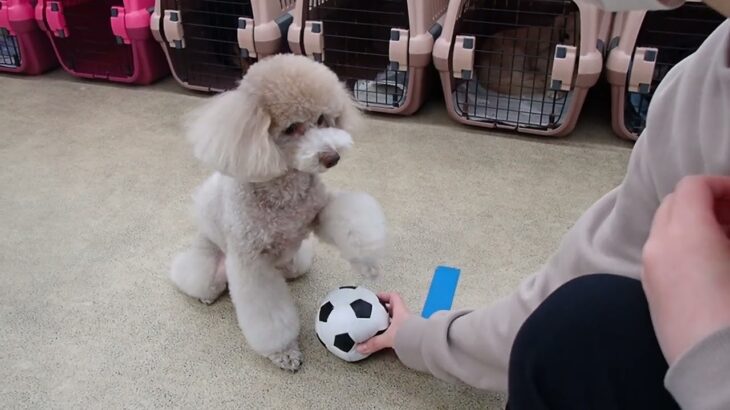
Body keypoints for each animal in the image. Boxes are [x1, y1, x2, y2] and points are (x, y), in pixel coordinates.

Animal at [171, 52, 386, 370]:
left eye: (322, 119)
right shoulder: (251, 263)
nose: (332, 157)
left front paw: (367, 261)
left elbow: (349, 220)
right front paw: (284, 351)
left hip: (295, 262)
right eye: (291, 128)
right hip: (208, 267)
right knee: (195, 278)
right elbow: (269, 316)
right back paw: (202, 293)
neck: (285, 187)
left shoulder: (318, 211)